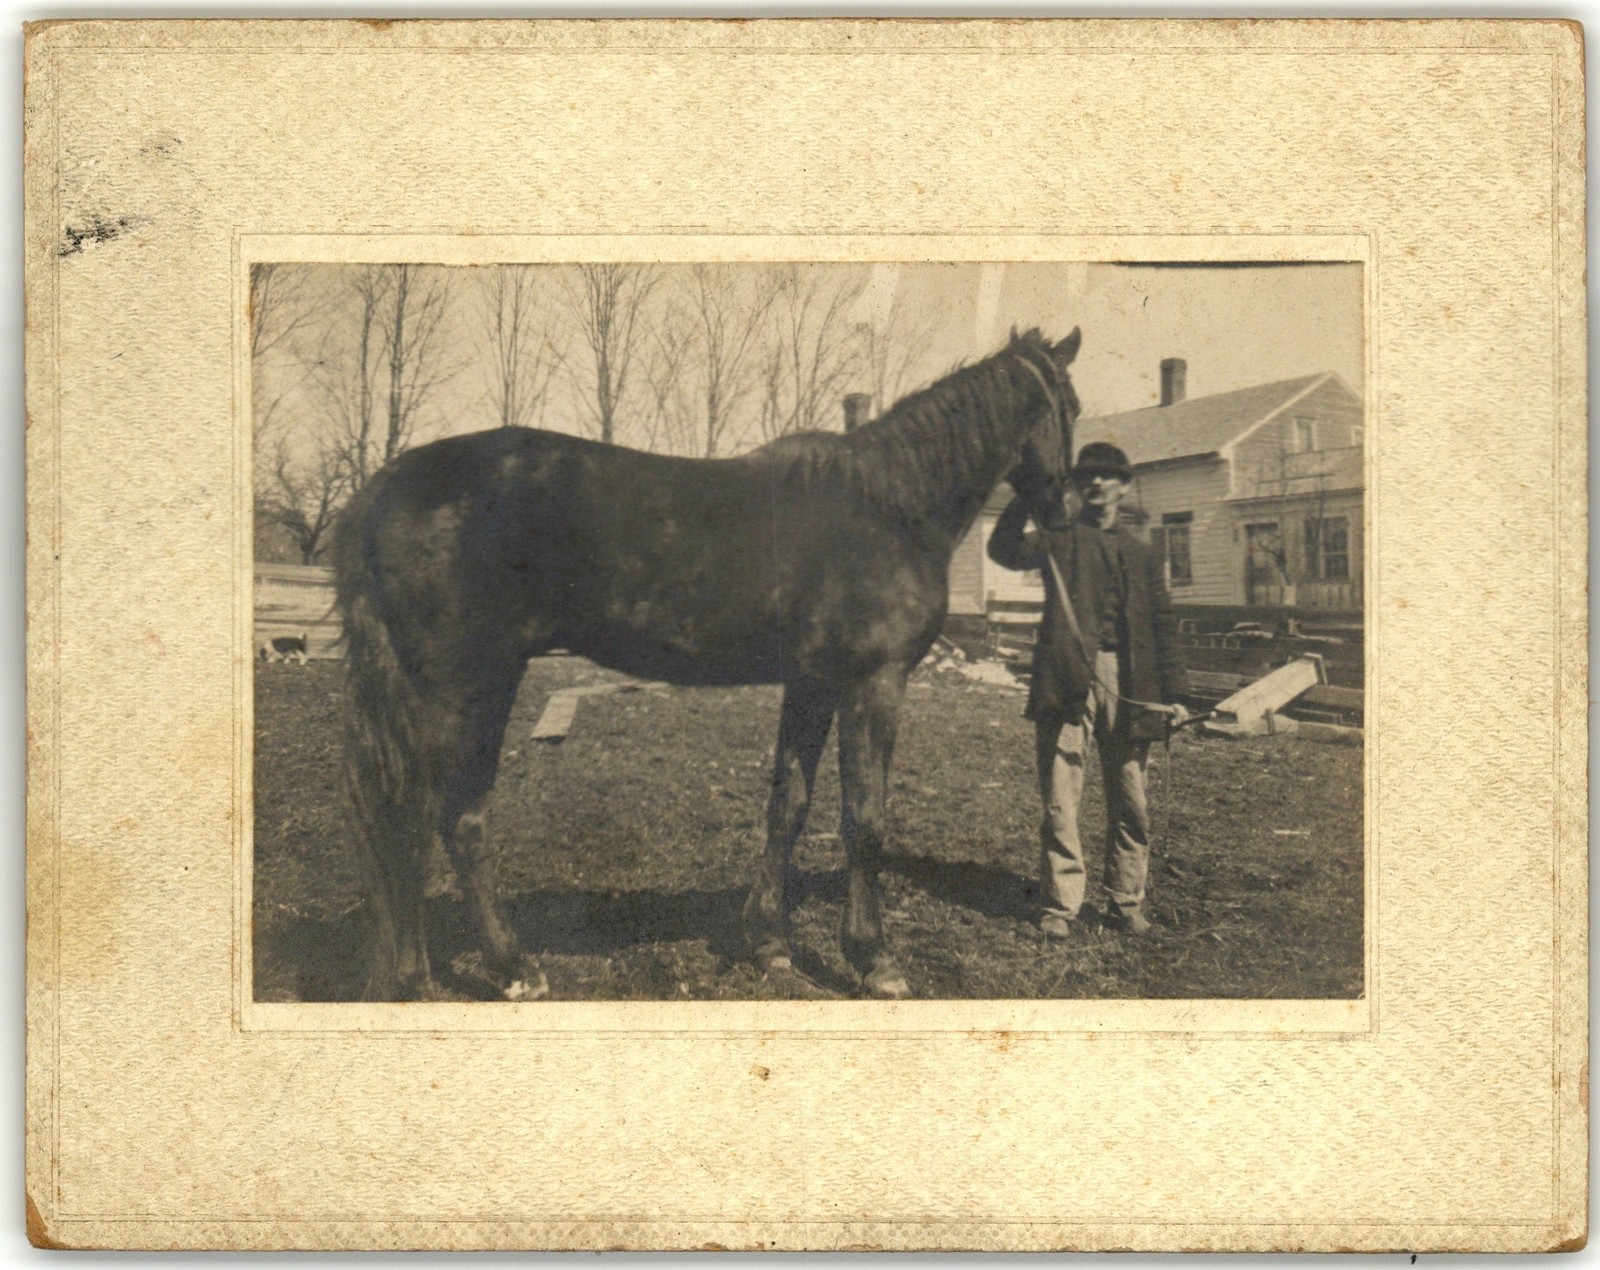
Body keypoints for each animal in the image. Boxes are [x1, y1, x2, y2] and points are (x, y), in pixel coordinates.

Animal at [331, 326, 1082, 1001]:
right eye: (1068, 407)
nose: (1068, 508)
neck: (889, 503)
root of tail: (382, 487)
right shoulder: (875, 682)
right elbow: (864, 818)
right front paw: (875, 960)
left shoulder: (812, 684)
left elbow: (789, 804)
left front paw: (770, 943)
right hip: (465, 687)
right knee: (434, 819)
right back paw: (485, 972)